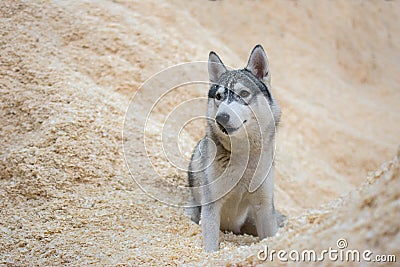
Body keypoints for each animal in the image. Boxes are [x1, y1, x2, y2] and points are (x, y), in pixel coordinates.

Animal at [186, 45, 282, 252]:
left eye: (244, 93)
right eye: (219, 96)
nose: (221, 118)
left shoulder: (264, 207)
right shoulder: (211, 207)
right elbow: (210, 246)